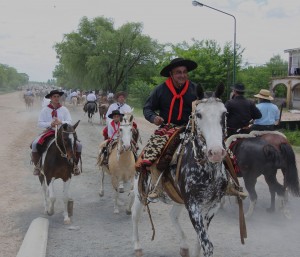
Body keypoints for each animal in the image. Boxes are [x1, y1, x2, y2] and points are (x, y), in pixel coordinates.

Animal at [131, 83, 227, 255]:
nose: (215, 152)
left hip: (177, 198)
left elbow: (200, 241)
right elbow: (206, 244)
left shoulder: (212, 206)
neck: (208, 171)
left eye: (224, 113)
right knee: (135, 216)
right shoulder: (193, 205)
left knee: (173, 216)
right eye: (199, 114)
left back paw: (183, 246)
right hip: (140, 193)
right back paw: (137, 246)